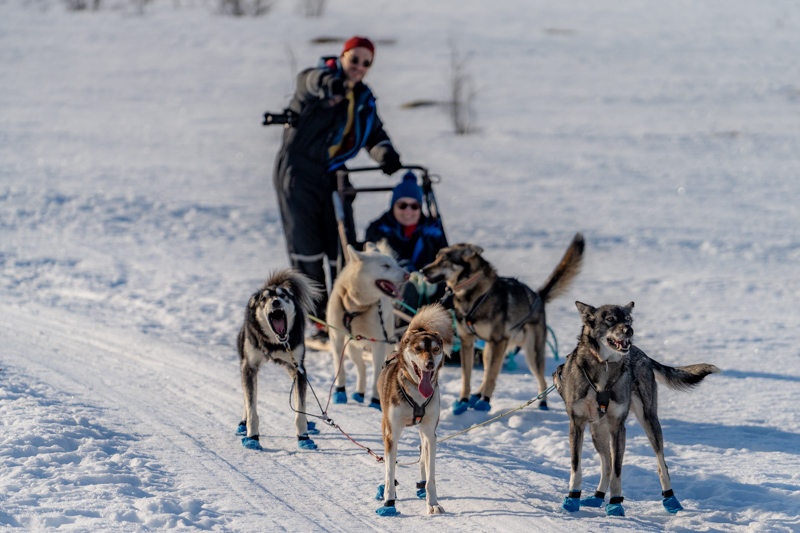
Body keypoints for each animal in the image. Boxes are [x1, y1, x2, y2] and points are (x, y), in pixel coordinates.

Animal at [234, 270, 322, 448]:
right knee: (247, 398)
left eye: (283, 295)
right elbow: (251, 406)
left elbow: (300, 407)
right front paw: (252, 436)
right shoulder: (249, 367)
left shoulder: (299, 369)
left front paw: (303, 436)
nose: (275, 302)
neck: (274, 343)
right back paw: (243, 423)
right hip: (245, 365)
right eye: (264, 299)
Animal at [326, 241, 410, 408]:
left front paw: (375, 401)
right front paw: (340, 392)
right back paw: (359, 393)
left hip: (388, 340)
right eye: (385, 266)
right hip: (351, 348)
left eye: (395, 264)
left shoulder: (379, 344)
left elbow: (377, 373)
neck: (356, 307)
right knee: (362, 368)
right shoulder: (337, 339)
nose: (407, 274)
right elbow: (340, 369)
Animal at [374, 304, 454, 516]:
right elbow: (390, 470)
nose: (429, 364)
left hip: (424, 433)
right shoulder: (392, 434)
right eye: (418, 349)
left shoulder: (430, 433)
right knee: (391, 464)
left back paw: (421, 485)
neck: (417, 393)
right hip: (386, 427)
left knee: (422, 457)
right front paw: (389, 502)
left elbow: (431, 474)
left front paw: (432, 502)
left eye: (436, 349)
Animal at [422, 231, 584, 414]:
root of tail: (538, 297)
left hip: (531, 352)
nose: (422, 270)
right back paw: (476, 395)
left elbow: (492, 376)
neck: (473, 292)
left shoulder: (499, 341)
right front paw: (463, 400)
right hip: (489, 350)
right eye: (436, 258)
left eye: (444, 260)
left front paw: (485, 401)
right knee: (488, 370)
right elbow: (467, 377)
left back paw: (542, 403)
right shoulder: (467, 342)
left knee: (539, 378)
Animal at [552, 304, 720, 516]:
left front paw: (615, 504)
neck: (604, 366)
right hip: (597, 431)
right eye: (610, 319)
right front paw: (572, 499)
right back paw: (598, 497)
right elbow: (577, 466)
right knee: (606, 464)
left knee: (661, 464)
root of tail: (642, 354)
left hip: (649, 422)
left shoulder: (618, 427)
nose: (629, 331)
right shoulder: (577, 425)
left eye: (628, 319)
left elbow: (618, 471)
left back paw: (671, 499)